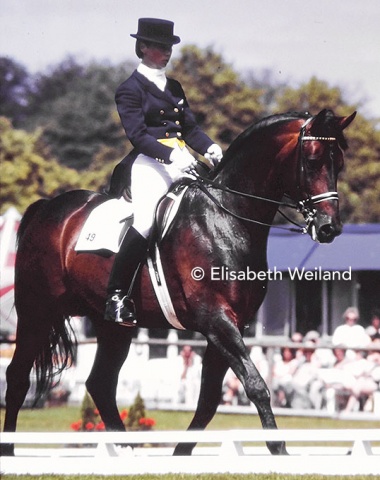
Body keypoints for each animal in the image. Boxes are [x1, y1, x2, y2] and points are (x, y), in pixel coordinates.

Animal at [1, 109, 354, 458]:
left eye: (339, 162)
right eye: (312, 159)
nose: (329, 228)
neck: (225, 219)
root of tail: (46, 208)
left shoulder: (229, 326)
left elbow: (209, 400)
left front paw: (180, 455)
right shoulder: (216, 320)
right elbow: (255, 385)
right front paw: (279, 450)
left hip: (113, 326)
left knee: (99, 384)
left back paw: (126, 452)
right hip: (36, 311)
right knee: (17, 377)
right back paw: (10, 451)